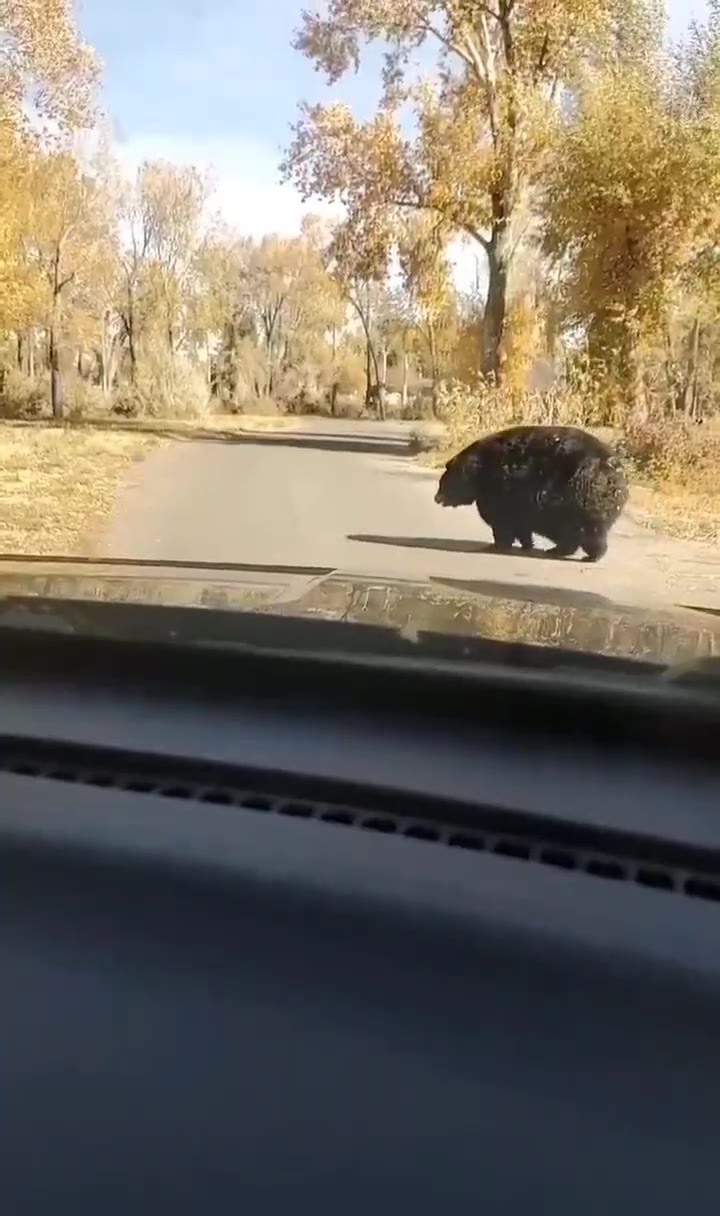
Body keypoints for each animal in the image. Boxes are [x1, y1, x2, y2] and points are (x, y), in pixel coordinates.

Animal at [434, 425, 629, 562]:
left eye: (443, 483)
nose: (437, 498)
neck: (477, 470)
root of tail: (617, 473)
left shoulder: (500, 491)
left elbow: (501, 521)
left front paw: (497, 545)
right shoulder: (518, 501)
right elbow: (520, 525)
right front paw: (526, 544)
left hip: (579, 498)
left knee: (585, 532)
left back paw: (586, 555)